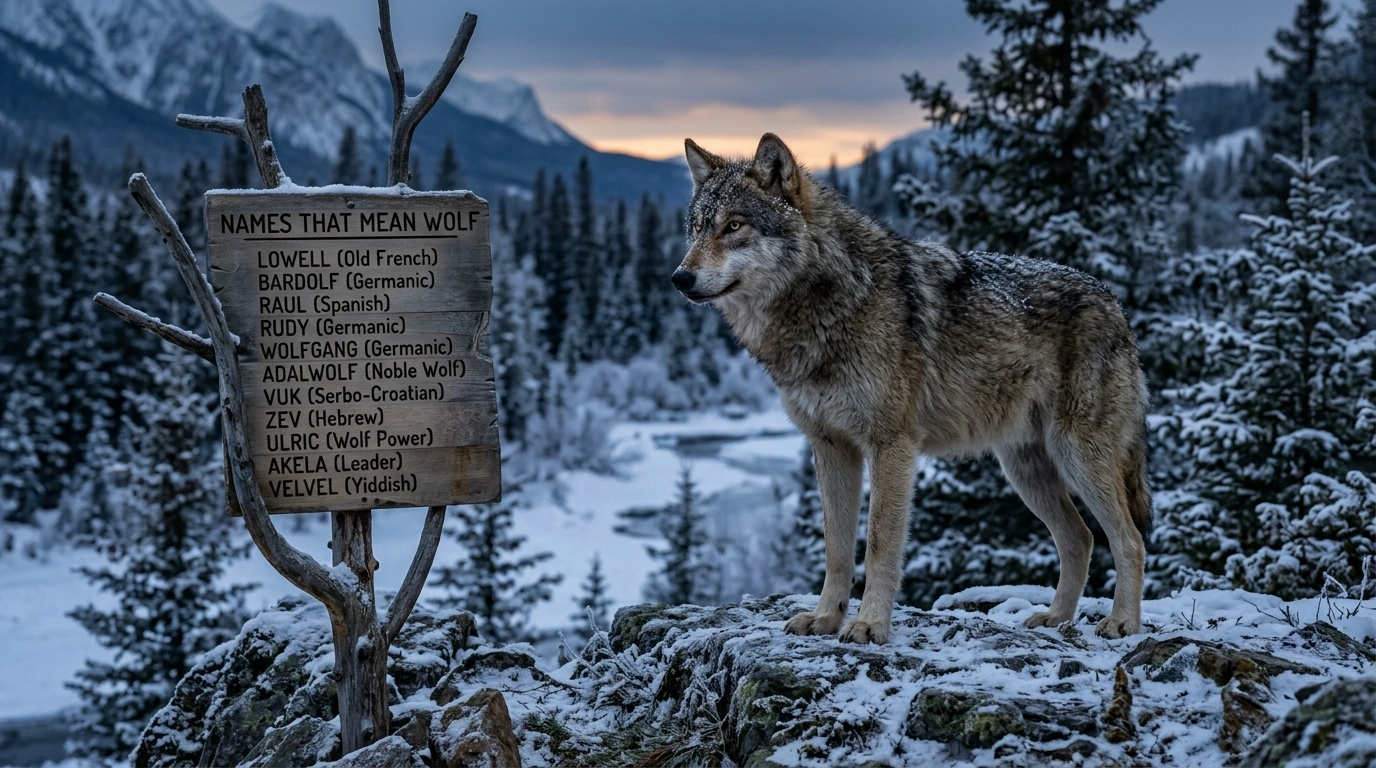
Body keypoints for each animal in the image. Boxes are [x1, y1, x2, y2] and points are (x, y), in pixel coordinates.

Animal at [672, 133, 1151, 644]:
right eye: (697, 230)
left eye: (734, 226)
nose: (679, 278)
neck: (829, 302)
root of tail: (1116, 305)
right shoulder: (831, 447)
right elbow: (837, 548)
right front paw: (825, 618)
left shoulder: (892, 446)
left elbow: (880, 543)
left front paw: (868, 625)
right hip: (1026, 470)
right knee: (1080, 537)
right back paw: (1056, 618)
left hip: (1077, 457)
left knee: (1129, 540)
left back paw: (1122, 622)